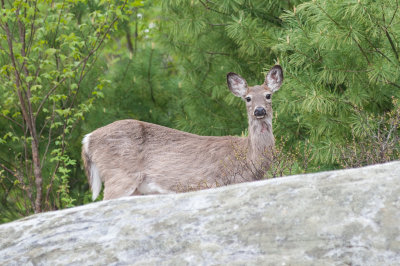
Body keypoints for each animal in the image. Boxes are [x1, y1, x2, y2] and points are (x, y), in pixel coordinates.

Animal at [81, 65, 282, 201]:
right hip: (119, 175)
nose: (259, 110)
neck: (248, 157)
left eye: (268, 95)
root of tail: (87, 139)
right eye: (247, 98)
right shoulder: (220, 182)